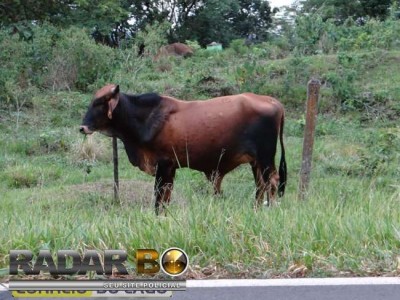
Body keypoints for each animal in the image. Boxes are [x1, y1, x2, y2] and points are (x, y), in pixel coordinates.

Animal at [80, 85, 288, 216]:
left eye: (99, 103)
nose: (82, 128)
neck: (145, 117)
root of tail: (274, 102)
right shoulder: (170, 168)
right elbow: (165, 197)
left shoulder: (164, 165)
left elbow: (159, 196)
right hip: (256, 162)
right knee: (261, 185)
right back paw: (256, 210)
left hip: (265, 157)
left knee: (272, 182)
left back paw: (270, 210)